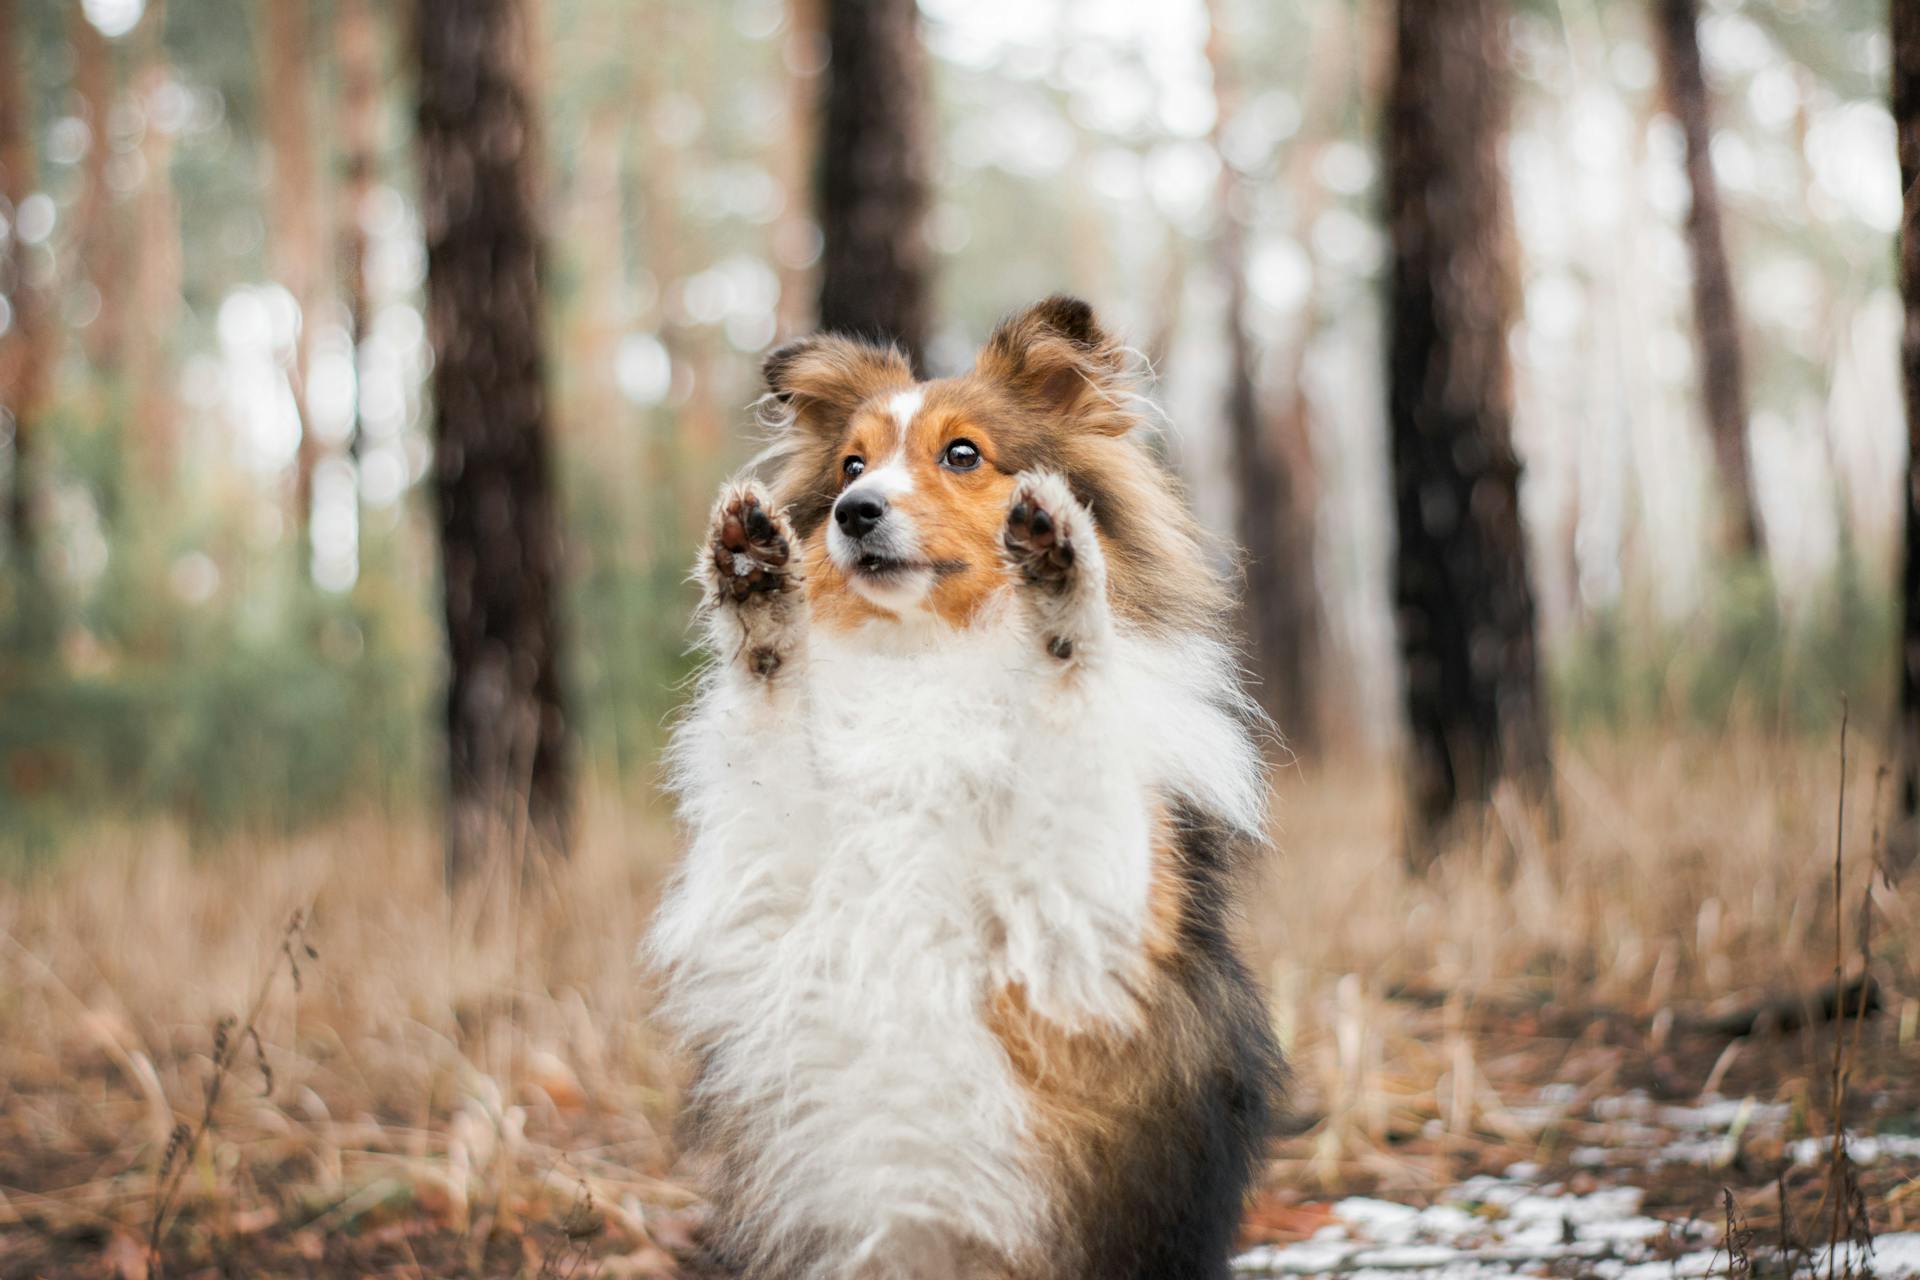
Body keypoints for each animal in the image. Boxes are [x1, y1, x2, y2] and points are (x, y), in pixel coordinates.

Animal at [652, 295, 1282, 1274]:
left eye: (962, 454)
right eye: (852, 464)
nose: (854, 512)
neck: (929, 662)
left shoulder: (1085, 925)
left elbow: (1069, 700)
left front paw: (1061, 576)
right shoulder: (778, 881)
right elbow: (770, 713)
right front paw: (756, 588)